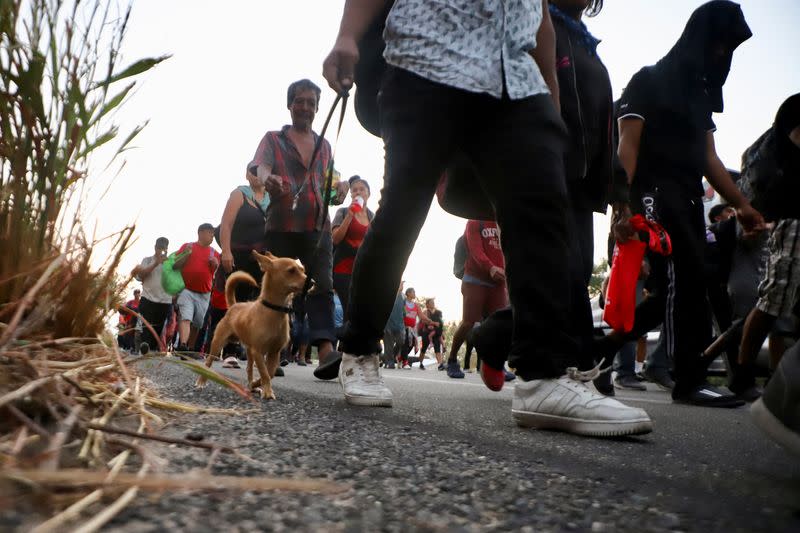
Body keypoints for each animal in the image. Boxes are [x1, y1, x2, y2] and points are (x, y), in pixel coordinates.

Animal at [196, 251, 306, 396]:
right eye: (291, 271)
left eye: (303, 270)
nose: (310, 282)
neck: (274, 310)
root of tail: (234, 306)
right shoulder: (258, 351)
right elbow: (264, 373)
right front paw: (267, 392)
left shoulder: (274, 352)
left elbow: (270, 373)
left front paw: (257, 384)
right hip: (218, 343)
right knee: (208, 363)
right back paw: (201, 382)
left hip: (249, 350)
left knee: (249, 369)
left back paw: (251, 387)